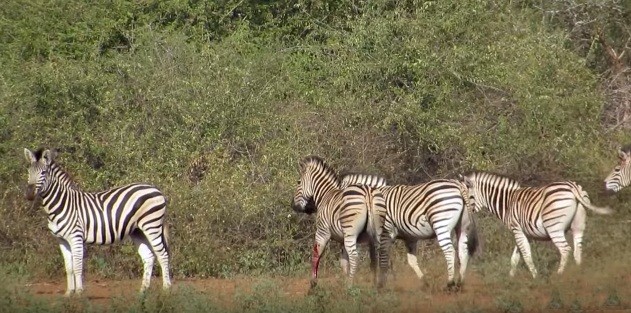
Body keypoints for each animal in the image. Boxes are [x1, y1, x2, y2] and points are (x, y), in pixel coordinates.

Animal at [23, 147, 172, 294]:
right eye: (29, 172)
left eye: (43, 173)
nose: (29, 194)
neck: (62, 203)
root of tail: (155, 188)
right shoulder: (62, 240)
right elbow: (69, 268)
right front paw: (69, 293)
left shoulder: (76, 236)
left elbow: (77, 266)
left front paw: (79, 292)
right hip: (137, 230)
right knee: (148, 257)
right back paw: (143, 290)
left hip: (151, 225)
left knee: (162, 254)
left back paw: (167, 288)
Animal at [292, 155, 390, 288]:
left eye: (298, 182)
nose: (293, 206)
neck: (325, 195)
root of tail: (368, 193)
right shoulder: (342, 240)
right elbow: (344, 262)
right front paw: (344, 279)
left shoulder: (322, 231)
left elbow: (316, 253)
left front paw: (313, 282)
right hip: (377, 231)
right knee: (380, 256)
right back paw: (377, 285)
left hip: (350, 233)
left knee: (354, 257)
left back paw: (350, 286)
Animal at [460, 171, 612, 278]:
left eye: (469, 197)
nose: (465, 216)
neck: (508, 202)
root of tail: (572, 187)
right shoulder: (523, 232)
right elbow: (515, 258)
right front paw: (511, 278)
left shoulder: (517, 229)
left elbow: (526, 256)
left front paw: (535, 278)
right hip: (578, 226)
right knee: (577, 251)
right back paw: (579, 274)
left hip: (554, 228)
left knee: (565, 250)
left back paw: (559, 276)